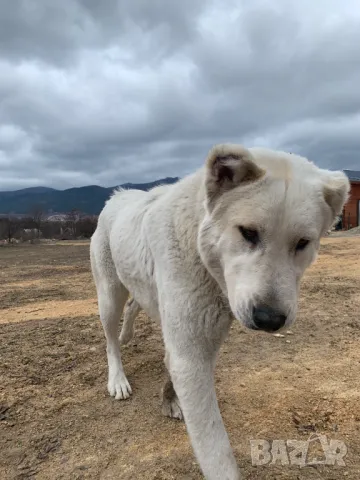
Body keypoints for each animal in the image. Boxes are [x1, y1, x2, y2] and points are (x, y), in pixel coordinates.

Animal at [89, 144, 348, 478]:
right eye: (248, 232)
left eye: (303, 242)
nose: (269, 320)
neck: (203, 255)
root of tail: (117, 196)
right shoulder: (192, 353)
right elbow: (216, 453)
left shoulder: (205, 336)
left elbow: (174, 363)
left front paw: (170, 398)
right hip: (109, 293)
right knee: (110, 338)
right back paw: (118, 378)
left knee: (136, 304)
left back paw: (128, 335)